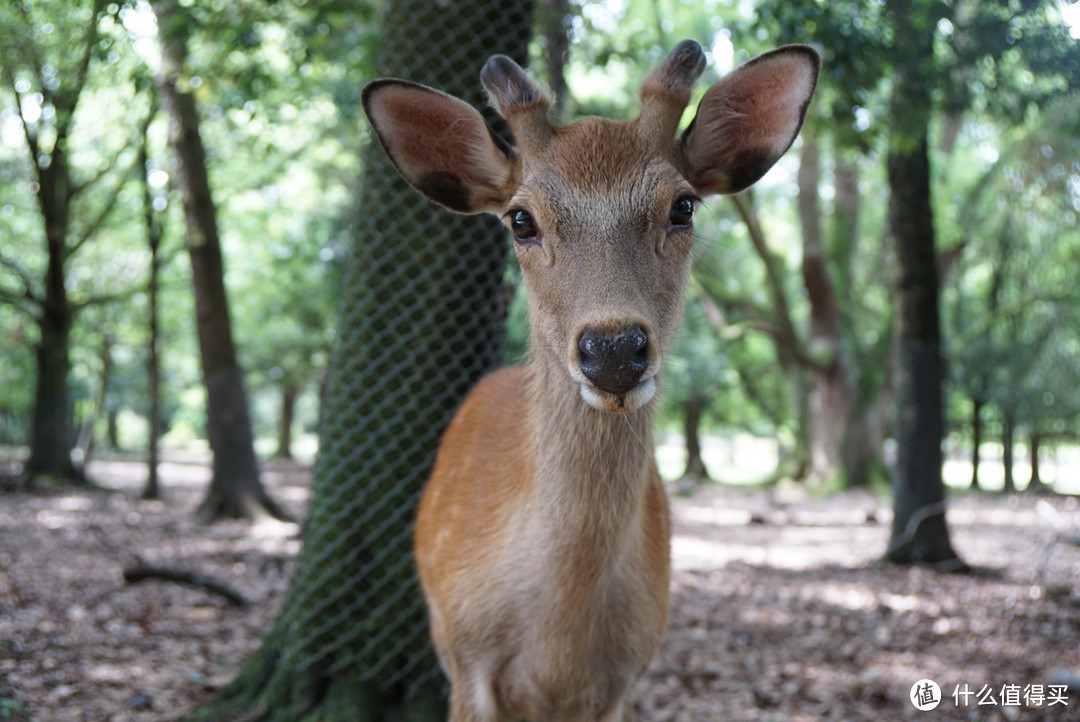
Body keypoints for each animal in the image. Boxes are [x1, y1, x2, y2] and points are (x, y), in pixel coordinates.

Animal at [362, 40, 816, 720]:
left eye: (683, 206)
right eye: (520, 219)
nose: (614, 351)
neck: (561, 642)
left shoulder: (628, 673)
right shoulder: (467, 664)